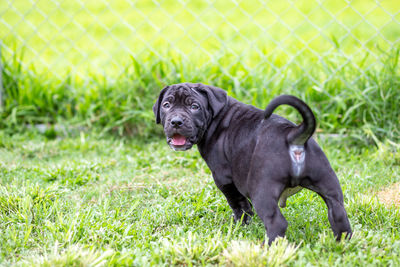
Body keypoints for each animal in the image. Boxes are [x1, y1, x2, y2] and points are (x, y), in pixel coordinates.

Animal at [153, 83, 350, 245]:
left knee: (277, 223)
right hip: (328, 185)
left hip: (262, 191)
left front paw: (240, 223)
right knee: (338, 214)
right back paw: (341, 243)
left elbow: (238, 203)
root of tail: (293, 135)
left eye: (194, 106)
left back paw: (267, 247)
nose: (176, 121)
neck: (217, 117)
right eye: (166, 105)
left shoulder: (223, 178)